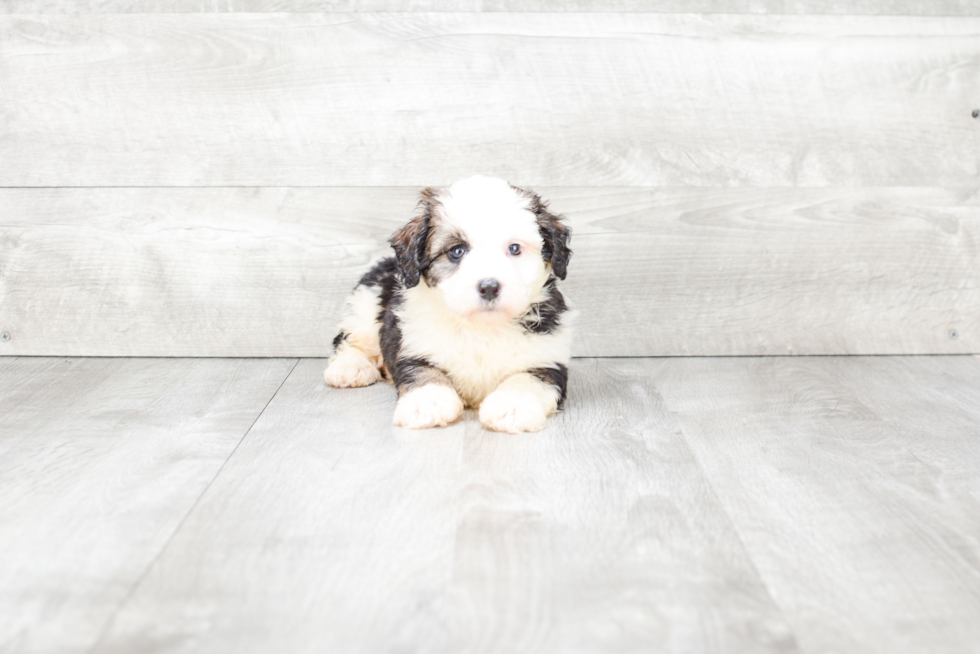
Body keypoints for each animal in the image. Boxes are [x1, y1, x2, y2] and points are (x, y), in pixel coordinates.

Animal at [324, 177, 576, 438]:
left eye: (514, 248)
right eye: (457, 251)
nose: (489, 287)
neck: (481, 329)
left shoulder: (547, 357)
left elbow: (527, 381)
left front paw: (512, 407)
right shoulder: (413, 344)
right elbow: (424, 372)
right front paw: (428, 401)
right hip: (366, 303)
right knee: (348, 339)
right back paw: (349, 367)